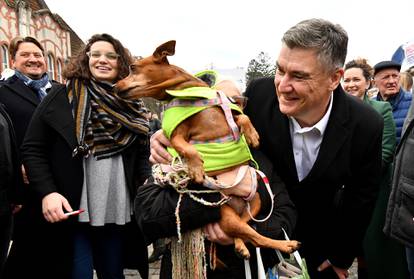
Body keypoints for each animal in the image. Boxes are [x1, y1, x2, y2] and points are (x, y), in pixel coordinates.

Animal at [115, 40, 300, 260]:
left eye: (133, 68)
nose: (115, 87)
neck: (186, 90)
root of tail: (234, 206)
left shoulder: (228, 114)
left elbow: (242, 117)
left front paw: (252, 135)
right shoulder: (176, 135)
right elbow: (187, 148)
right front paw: (196, 168)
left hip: (254, 201)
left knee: (246, 227)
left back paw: (245, 246)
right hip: (226, 215)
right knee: (252, 235)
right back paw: (282, 245)